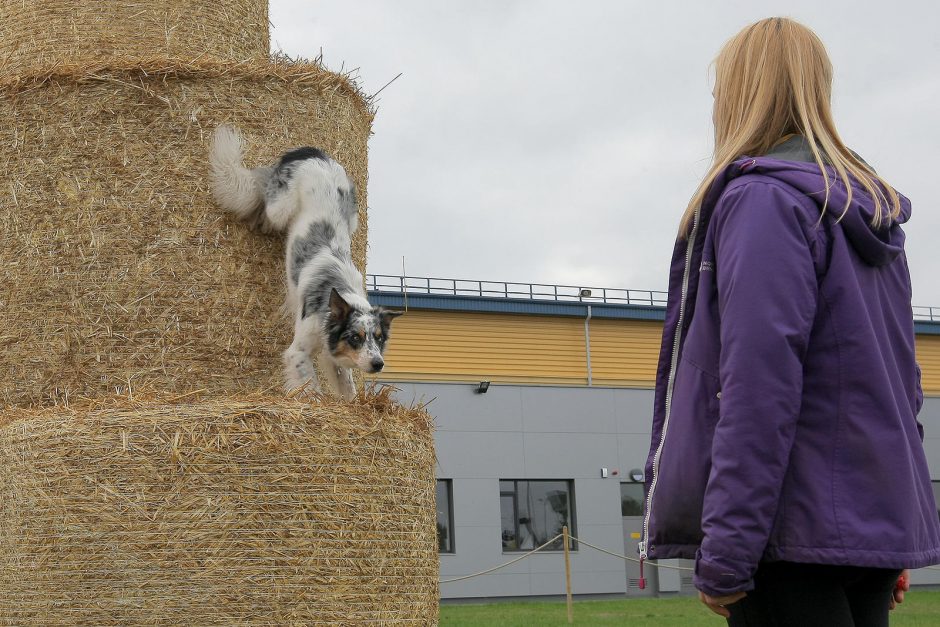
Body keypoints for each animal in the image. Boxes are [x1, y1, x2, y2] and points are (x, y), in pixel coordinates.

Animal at [209, 125, 400, 400]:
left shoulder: (333, 356)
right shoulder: (297, 350)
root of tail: (313, 152)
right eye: (356, 337)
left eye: (379, 338)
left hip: (352, 217)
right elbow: (309, 383)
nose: (378, 364)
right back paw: (260, 219)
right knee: (263, 193)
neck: (336, 297)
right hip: (281, 206)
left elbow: (347, 388)